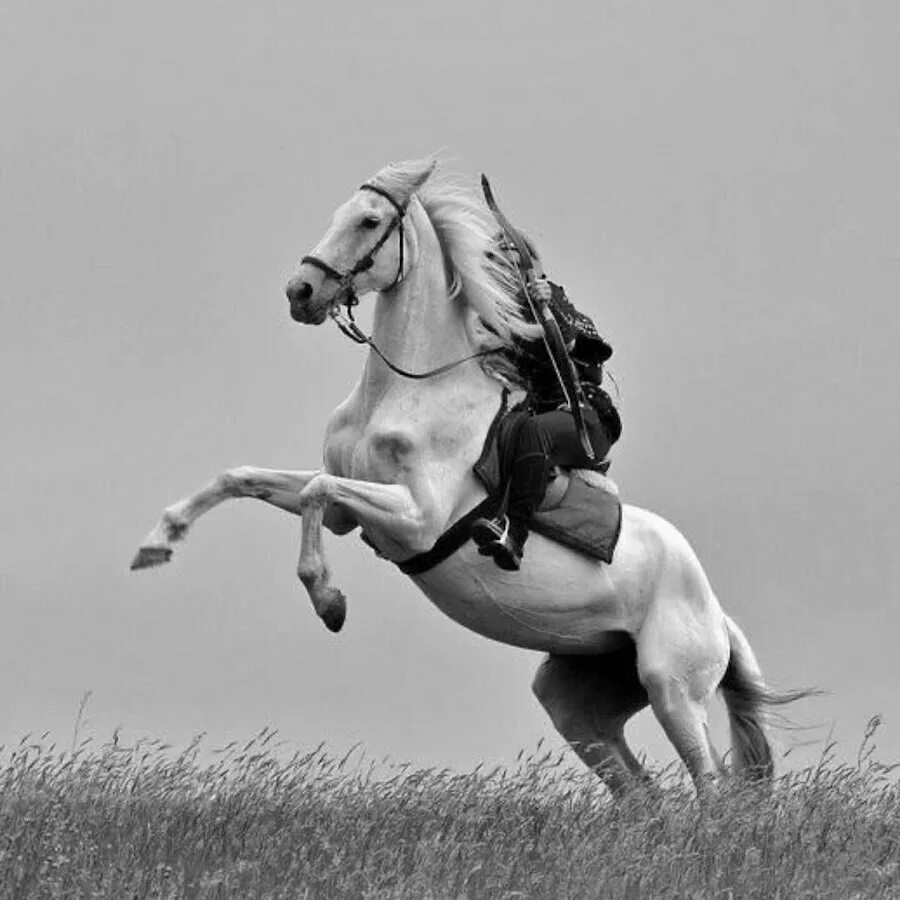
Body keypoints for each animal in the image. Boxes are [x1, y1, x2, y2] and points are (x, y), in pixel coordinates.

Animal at [132, 156, 800, 796]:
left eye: (369, 221)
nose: (301, 291)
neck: (409, 390)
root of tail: (717, 616)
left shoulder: (417, 518)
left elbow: (319, 493)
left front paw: (328, 600)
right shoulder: (349, 512)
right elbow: (242, 477)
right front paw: (157, 543)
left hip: (673, 690)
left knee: (710, 789)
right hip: (580, 698)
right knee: (643, 795)